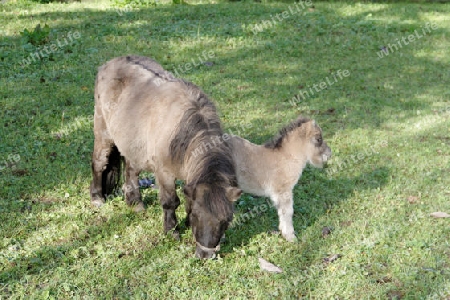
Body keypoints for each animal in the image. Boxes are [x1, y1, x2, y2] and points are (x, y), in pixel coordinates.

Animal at [89, 55, 241, 258]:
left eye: (226, 220)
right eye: (197, 216)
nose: (205, 255)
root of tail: (108, 64)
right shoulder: (164, 173)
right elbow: (171, 202)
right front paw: (172, 231)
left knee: (131, 170)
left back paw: (135, 202)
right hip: (104, 135)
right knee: (99, 163)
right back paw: (97, 197)